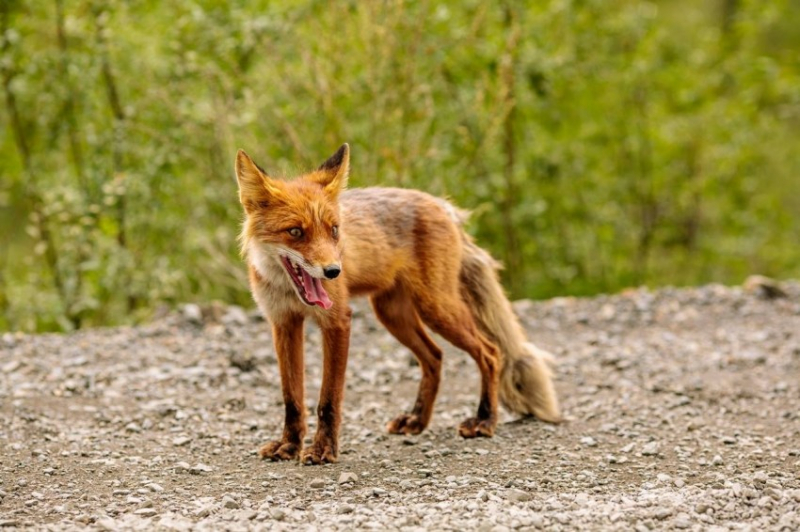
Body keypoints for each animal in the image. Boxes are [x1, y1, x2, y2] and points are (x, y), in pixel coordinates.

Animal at [236, 143, 564, 464]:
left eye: (334, 230)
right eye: (295, 232)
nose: (333, 271)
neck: (287, 289)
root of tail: (441, 204)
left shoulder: (338, 321)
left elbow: (328, 400)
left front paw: (323, 450)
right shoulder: (283, 324)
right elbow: (291, 398)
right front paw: (290, 445)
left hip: (436, 309)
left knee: (491, 352)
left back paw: (484, 420)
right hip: (393, 314)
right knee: (435, 356)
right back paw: (418, 419)